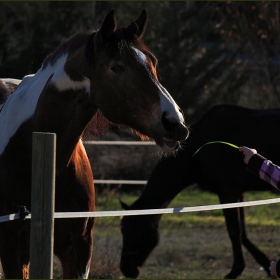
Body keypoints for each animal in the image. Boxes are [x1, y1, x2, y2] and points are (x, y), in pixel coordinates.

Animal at [120, 104, 280, 278]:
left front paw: (235, 270)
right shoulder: (239, 192)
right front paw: (266, 265)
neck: (200, 148)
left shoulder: (227, 191)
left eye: (134, 231)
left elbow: (234, 231)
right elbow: (242, 233)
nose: (126, 270)